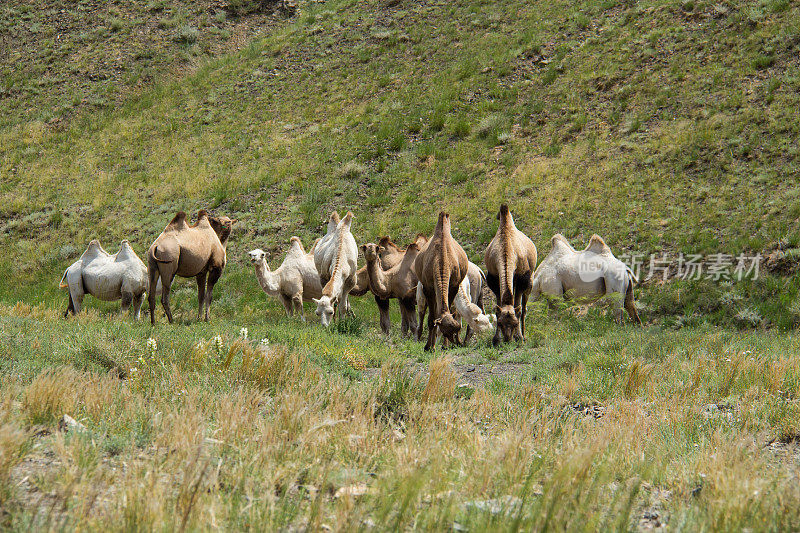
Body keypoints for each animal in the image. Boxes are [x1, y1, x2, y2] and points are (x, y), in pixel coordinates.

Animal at [412, 210, 468, 352]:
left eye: (455, 330)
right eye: (446, 331)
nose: (454, 342)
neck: (441, 260)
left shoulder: (453, 286)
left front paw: (443, 345)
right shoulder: (428, 288)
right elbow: (432, 319)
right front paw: (428, 347)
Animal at [482, 204, 536, 344]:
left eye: (515, 323)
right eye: (500, 323)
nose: (507, 339)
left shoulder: (522, 279)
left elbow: (518, 309)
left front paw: (519, 337)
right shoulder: (493, 279)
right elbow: (498, 309)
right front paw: (496, 340)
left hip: (530, 282)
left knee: (524, 308)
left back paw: (524, 335)